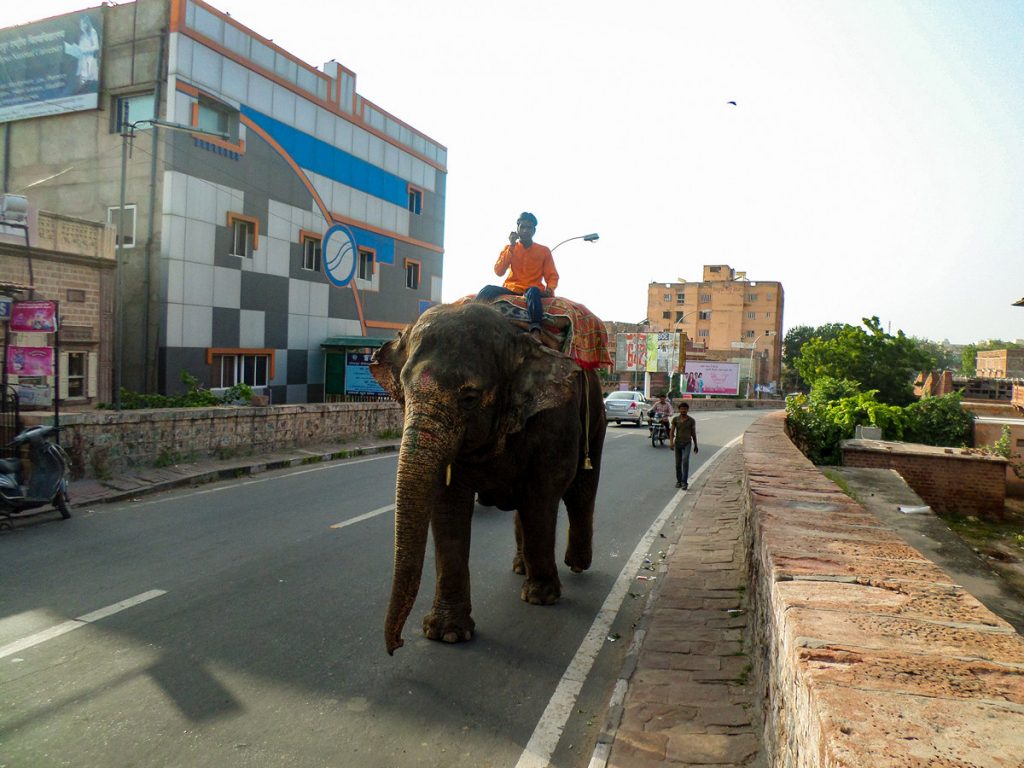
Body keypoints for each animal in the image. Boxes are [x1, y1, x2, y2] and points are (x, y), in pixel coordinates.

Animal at [370, 301, 602, 655]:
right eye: (405, 393)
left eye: (469, 398)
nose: (395, 645)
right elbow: (448, 508)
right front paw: (447, 633)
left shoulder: (554, 420)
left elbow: (542, 498)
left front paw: (541, 597)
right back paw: (521, 567)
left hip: (596, 414)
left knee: (581, 491)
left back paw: (576, 564)